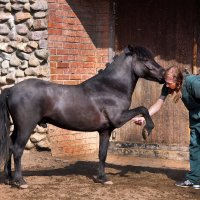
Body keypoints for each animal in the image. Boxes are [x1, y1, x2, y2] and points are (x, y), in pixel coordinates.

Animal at [0, 45, 164, 188]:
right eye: (144, 59)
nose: (163, 74)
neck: (110, 87)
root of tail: (10, 90)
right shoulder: (119, 119)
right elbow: (143, 108)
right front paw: (147, 129)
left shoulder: (105, 130)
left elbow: (102, 153)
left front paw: (102, 178)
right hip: (26, 126)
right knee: (17, 149)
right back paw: (20, 181)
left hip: (18, 127)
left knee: (10, 146)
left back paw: (9, 178)